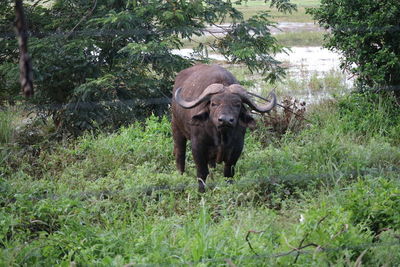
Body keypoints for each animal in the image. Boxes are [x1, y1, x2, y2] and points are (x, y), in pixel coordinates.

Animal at [170, 64, 276, 193]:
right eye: (213, 103)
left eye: (237, 104)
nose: (225, 120)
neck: (221, 136)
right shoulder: (197, 147)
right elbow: (202, 172)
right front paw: (201, 191)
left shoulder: (237, 148)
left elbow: (228, 173)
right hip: (176, 128)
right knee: (180, 154)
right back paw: (180, 174)